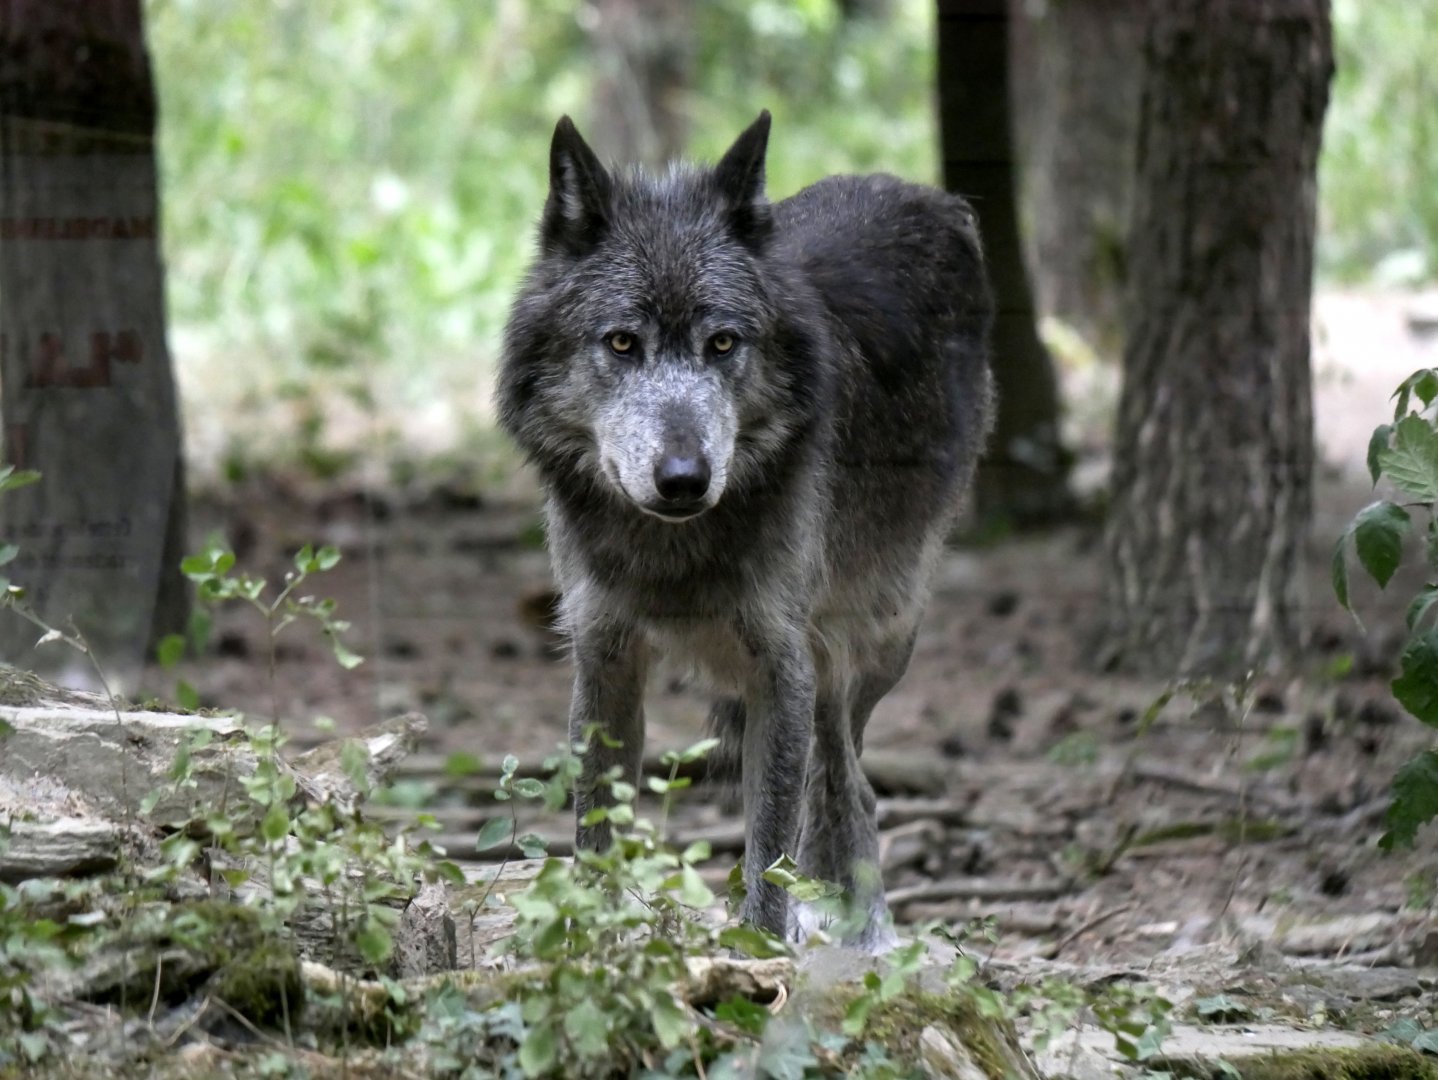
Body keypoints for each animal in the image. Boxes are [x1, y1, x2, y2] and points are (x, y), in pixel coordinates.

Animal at [497, 110, 993, 948]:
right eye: (622, 342)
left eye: (723, 342)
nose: (684, 477)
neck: (670, 554)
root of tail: (936, 197)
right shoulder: (602, 659)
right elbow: (597, 831)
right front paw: (588, 941)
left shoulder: (782, 665)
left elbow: (769, 844)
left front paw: (760, 948)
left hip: (870, 642)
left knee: (848, 781)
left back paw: (862, 926)